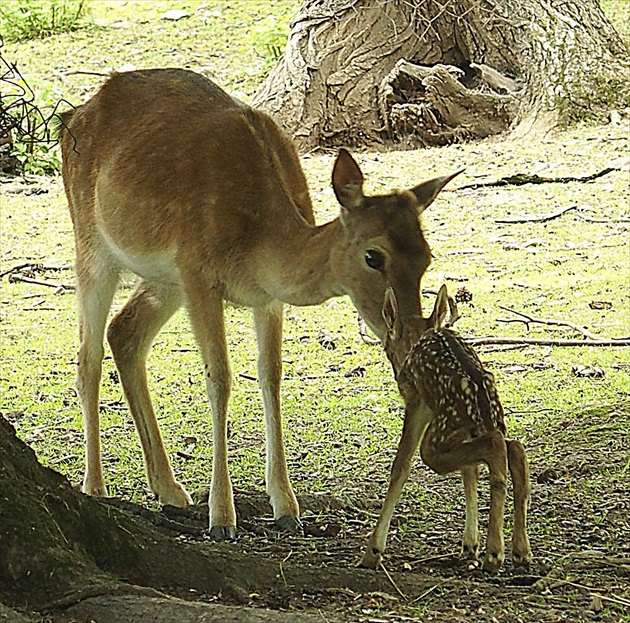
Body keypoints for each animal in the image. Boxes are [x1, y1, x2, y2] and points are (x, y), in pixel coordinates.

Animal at [60, 67, 464, 536]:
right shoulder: (199, 273)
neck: (259, 241)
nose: (412, 337)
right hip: (92, 245)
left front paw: (286, 506)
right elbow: (220, 378)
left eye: (426, 255)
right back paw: (94, 486)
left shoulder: (266, 298)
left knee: (124, 331)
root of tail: (73, 115)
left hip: (164, 278)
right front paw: (222, 516)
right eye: (373, 256)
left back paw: (170, 488)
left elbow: (271, 376)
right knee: (87, 356)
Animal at [360, 286, 532, 572]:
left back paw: (495, 554)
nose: (394, 365)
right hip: (480, 425)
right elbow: (469, 472)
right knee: (514, 448)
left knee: (496, 447)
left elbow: (400, 466)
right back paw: (521, 551)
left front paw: (373, 552)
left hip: (439, 438)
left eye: (387, 344)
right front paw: (469, 547)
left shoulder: (417, 401)